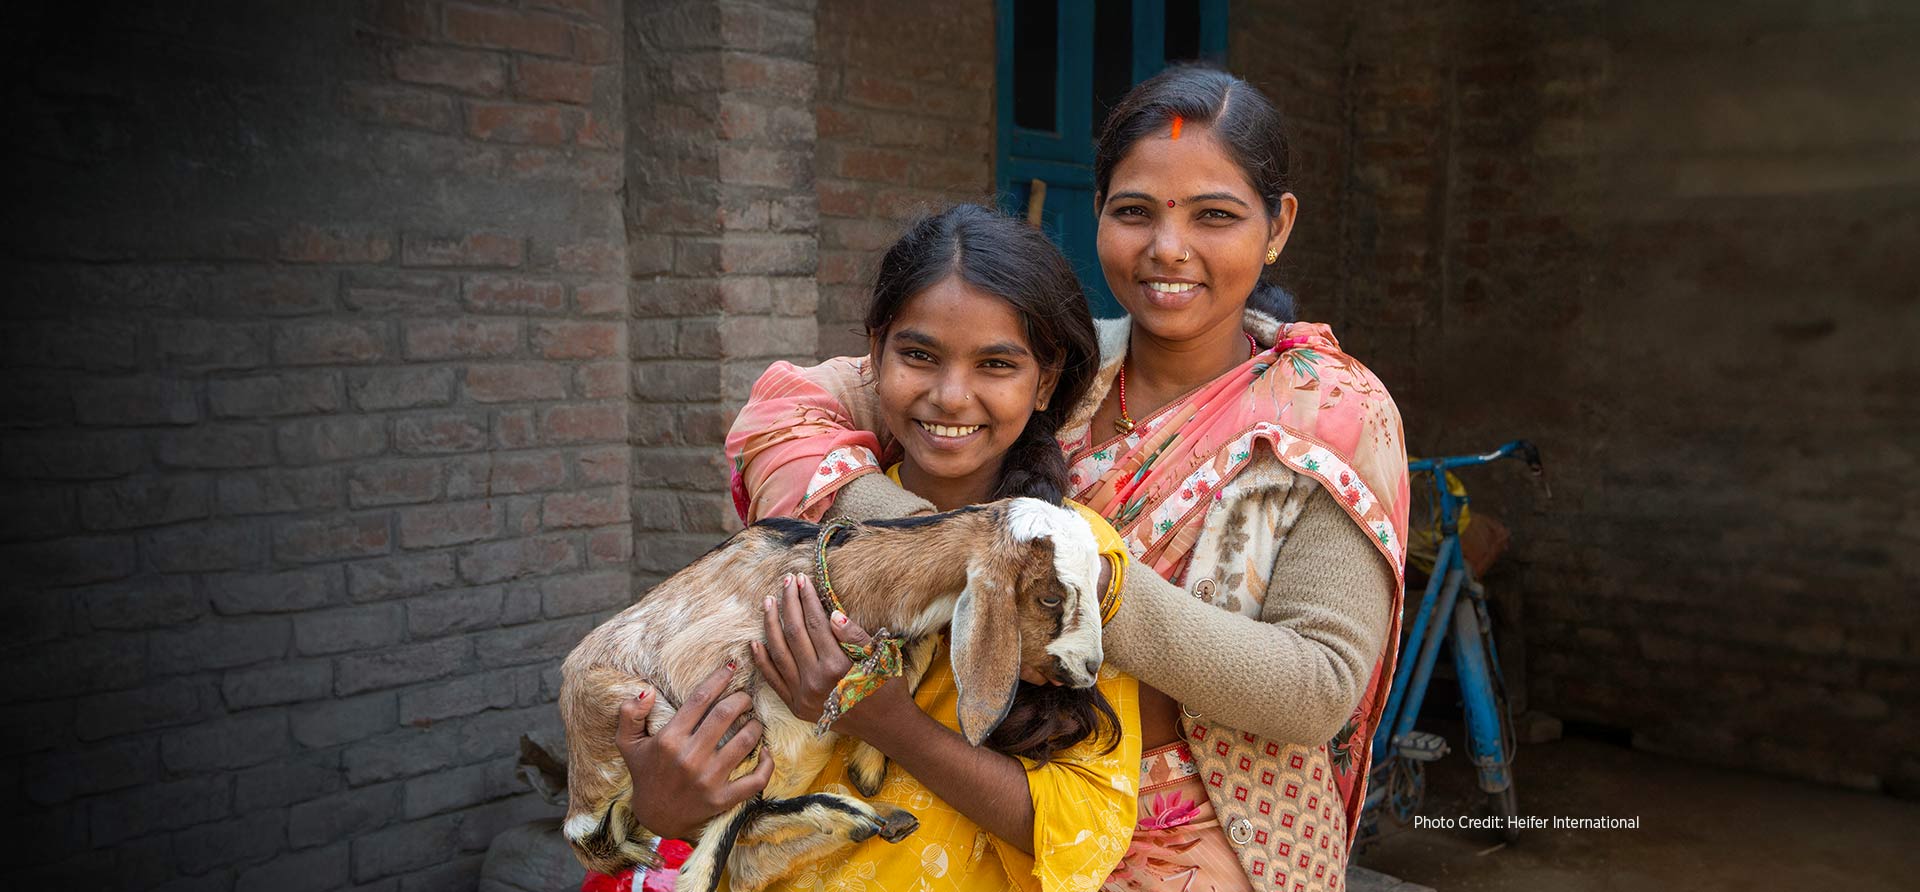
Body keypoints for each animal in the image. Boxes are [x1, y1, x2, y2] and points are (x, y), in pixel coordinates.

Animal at [559, 496, 1106, 892]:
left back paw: (871, 819)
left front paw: (867, 766)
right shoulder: (714, 678)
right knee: (739, 820)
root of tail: (581, 813)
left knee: (751, 852)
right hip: (640, 708)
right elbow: (729, 812)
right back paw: (856, 817)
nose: (1090, 668)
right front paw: (695, 878)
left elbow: (918, 651)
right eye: (1049, 596)